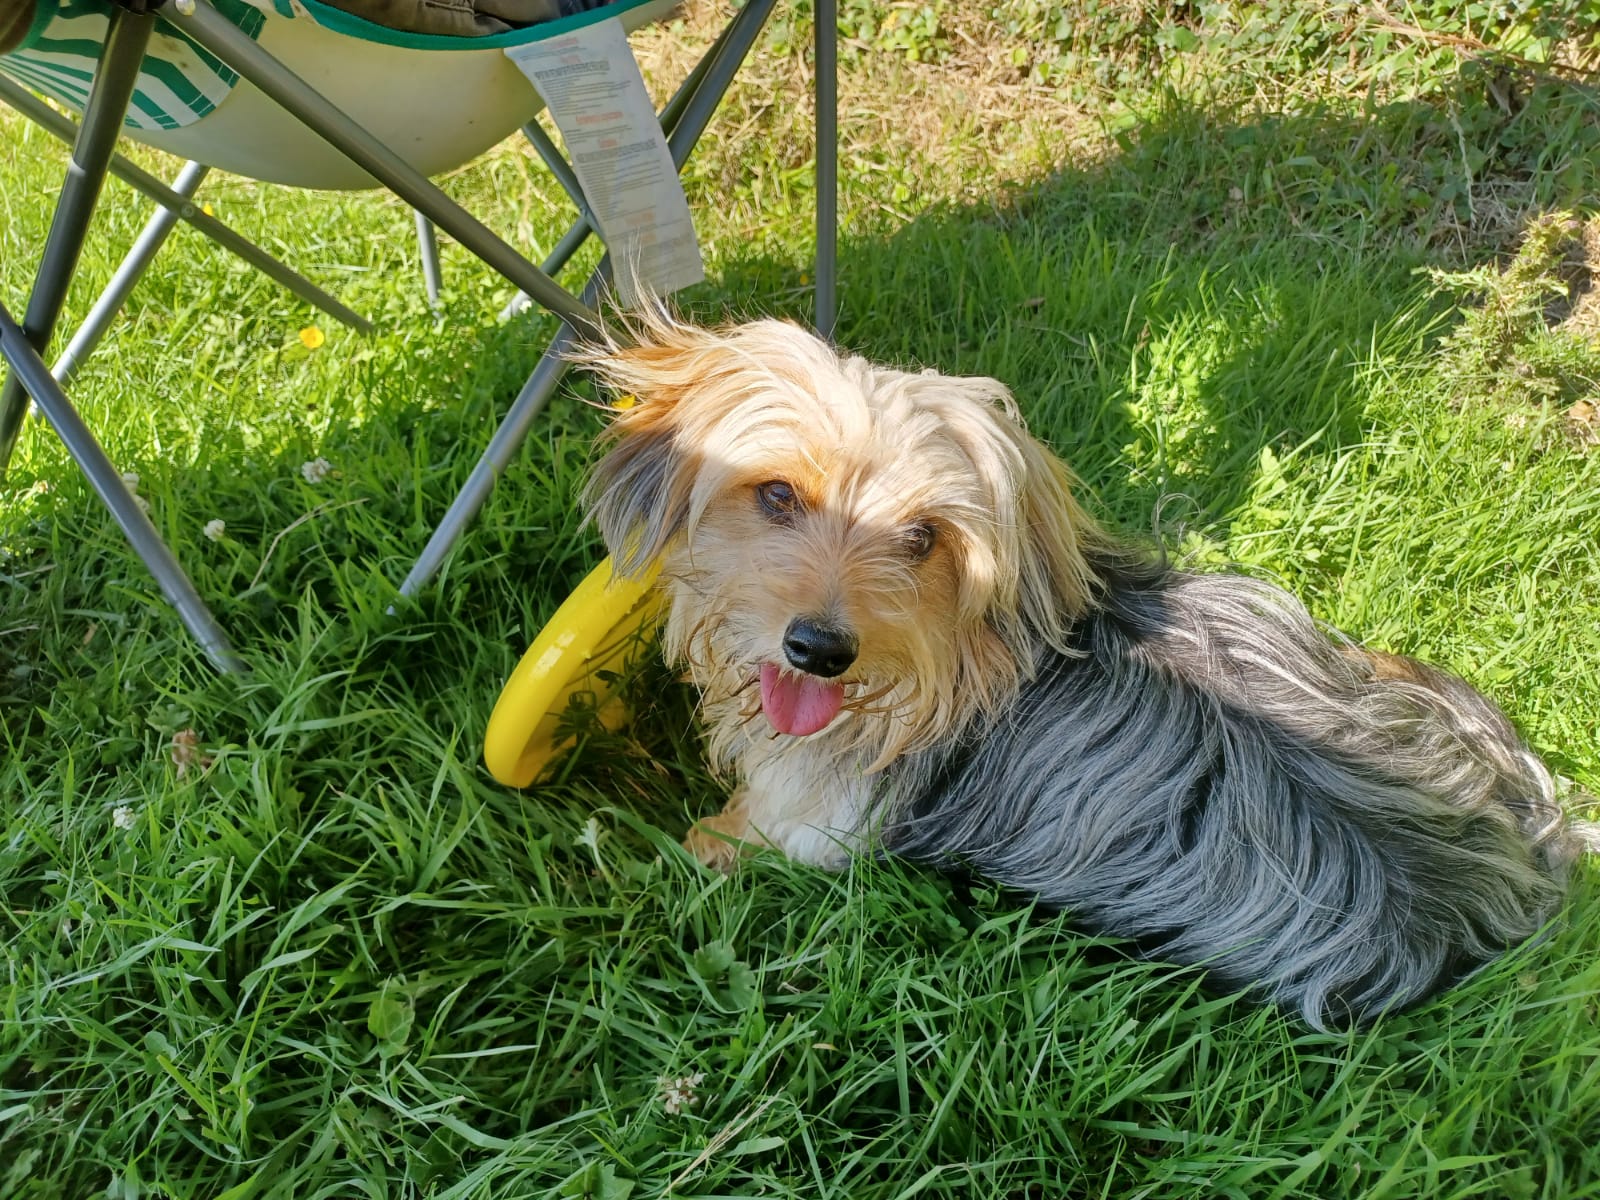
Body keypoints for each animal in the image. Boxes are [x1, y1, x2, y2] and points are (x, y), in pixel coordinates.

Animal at [569, 312, 1593, 1036]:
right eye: (777, 494)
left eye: (923, 538)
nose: (820, 649)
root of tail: (1496, 883)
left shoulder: (822, 825)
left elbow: (747, 828)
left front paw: (695, 839)